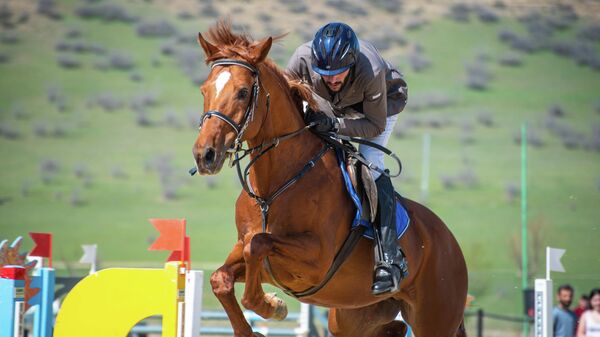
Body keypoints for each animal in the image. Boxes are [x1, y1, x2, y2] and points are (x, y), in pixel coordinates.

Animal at [192, 21, 468, 336]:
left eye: (242, 92)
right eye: (203, 90)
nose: (205, 155)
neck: (274, 187)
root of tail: (450, 242)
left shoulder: (316, 259)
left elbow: (258, 244)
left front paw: (271, 306)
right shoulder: (248, 252)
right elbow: (222, 277)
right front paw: (258, 318)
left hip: (435, 318)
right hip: (355, 318)